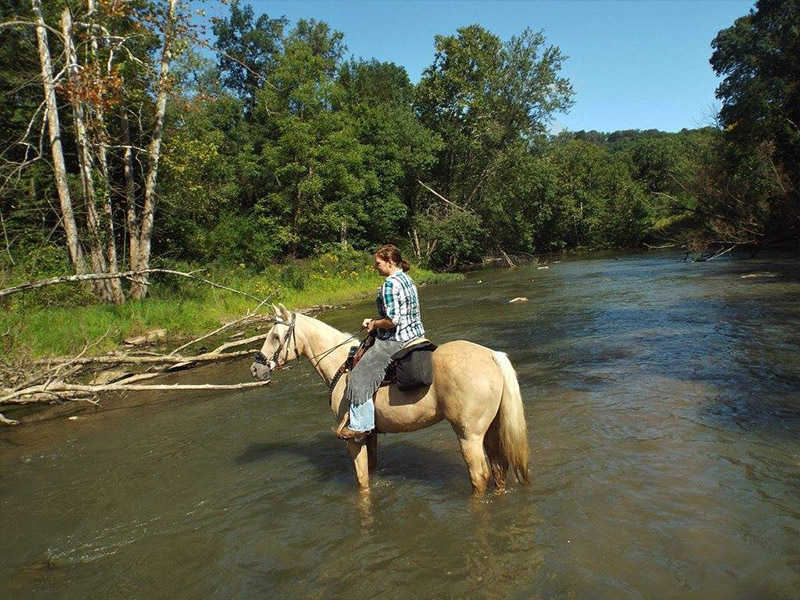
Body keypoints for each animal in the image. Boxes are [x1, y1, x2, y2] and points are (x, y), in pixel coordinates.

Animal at [248, 308, 524, 494]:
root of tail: (491, 356)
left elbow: (361, 481)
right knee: (499, 469)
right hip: (490, 430)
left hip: (469, 435)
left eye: (275, 336)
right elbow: (371, 469)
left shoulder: (354, 439)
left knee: (480, 476)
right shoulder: (369, 435)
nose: (255, 369)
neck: (341, 365)